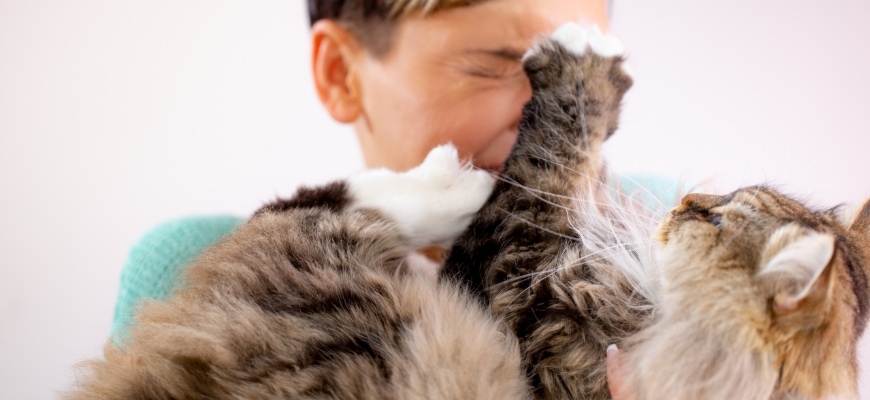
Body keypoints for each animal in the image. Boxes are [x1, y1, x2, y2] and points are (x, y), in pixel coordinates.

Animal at [70, 22, 870, 400]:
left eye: (715, 220)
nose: (686, 201)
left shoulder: (516, 283)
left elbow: (545, 153)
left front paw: (584, 63)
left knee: (311, 211)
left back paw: (458, 181)